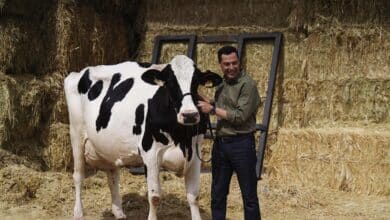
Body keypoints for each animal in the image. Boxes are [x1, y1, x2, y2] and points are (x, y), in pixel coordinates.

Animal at [64, 55, 222, 220]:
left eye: (196, 82)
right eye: (170, 83)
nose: (189, 115)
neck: (181, 136)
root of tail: (80, 72)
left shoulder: (195, 154)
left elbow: (193, 196)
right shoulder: (150, 154)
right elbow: (154, 197)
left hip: (109, 146)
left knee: (112, 176)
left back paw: (118, 211)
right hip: (76, 135)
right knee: (78, 176)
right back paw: (78, 212)